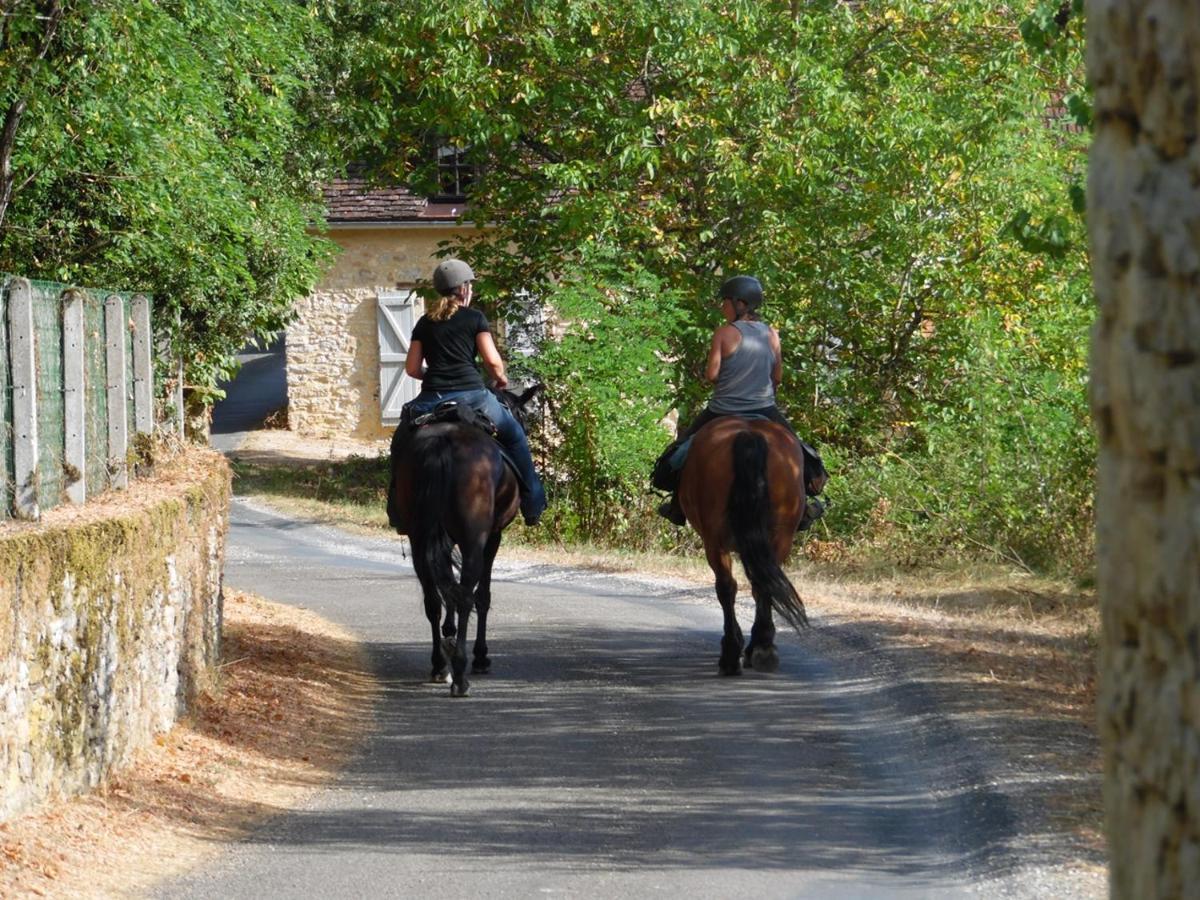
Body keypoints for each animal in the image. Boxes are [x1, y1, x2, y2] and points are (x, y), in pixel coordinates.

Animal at [386, 386, 542, 696]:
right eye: (522, 418)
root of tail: (443, 442)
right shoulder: (492, 537)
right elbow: (482, 595)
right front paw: (481, 656)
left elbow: (447, 588)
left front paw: (449, 633)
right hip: (473, 541)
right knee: (467, 595)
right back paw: (460, 672)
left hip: (419, 538)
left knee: (433, 599)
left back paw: (439, 664)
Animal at [681, 420, 811, 681]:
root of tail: (749, 433)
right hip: (780, 537)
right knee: (762, 586)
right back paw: (763, 649)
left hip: (715, 541)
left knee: (727, 587)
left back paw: (732, 655)